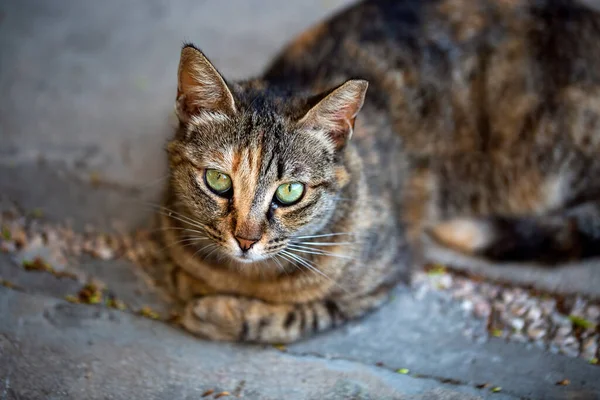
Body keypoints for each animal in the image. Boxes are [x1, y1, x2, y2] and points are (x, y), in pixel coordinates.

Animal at [162, 0, 600, 344]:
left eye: (290, 192)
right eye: (218, 181)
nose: (246, 241)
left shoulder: (384, 275)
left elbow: (301, 315)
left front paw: (218, 313)